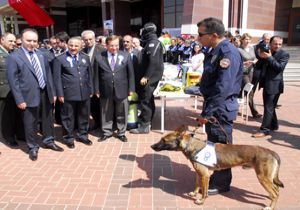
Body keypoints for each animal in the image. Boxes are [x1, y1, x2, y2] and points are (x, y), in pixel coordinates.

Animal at [151, 125, 284, 209]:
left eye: (163, 140)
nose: (152, 146)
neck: (191, 145)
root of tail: (272, 152)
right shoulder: (199, 174)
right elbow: (197, 185)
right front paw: (194, 194)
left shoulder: (205, 176)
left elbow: (204, 192)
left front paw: (201, 201)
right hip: (268, 179)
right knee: (276, 190)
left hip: (263, 178)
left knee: (275, 193)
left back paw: (270, 207)